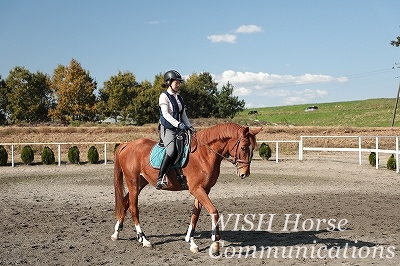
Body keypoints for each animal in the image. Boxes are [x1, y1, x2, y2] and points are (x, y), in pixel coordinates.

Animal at [111, 122, 260, 254]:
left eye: (253, 148)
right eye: (244, 147)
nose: (244, 173)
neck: (204, 154)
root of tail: (127, 144)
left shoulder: (204, 189)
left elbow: (195, 214)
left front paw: (191, 241)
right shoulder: (196, 189)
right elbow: (214, 211)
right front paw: (215, 244)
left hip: (141, 182)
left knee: (125, 202)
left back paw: (116, 232)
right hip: (133, 182)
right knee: (133, 208)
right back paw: (143, 239)